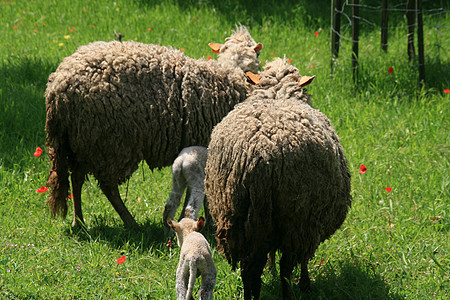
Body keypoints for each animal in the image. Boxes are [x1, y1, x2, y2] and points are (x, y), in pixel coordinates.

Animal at [204, 57, 352, 298]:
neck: (277, 93)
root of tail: (259, 155)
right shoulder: (310, 222)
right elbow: (301, 261)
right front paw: (305, 284)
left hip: (236, 215)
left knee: (248, 269)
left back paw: (251, 295)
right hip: (297, 216)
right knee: (285, 267)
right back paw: (288, 293)